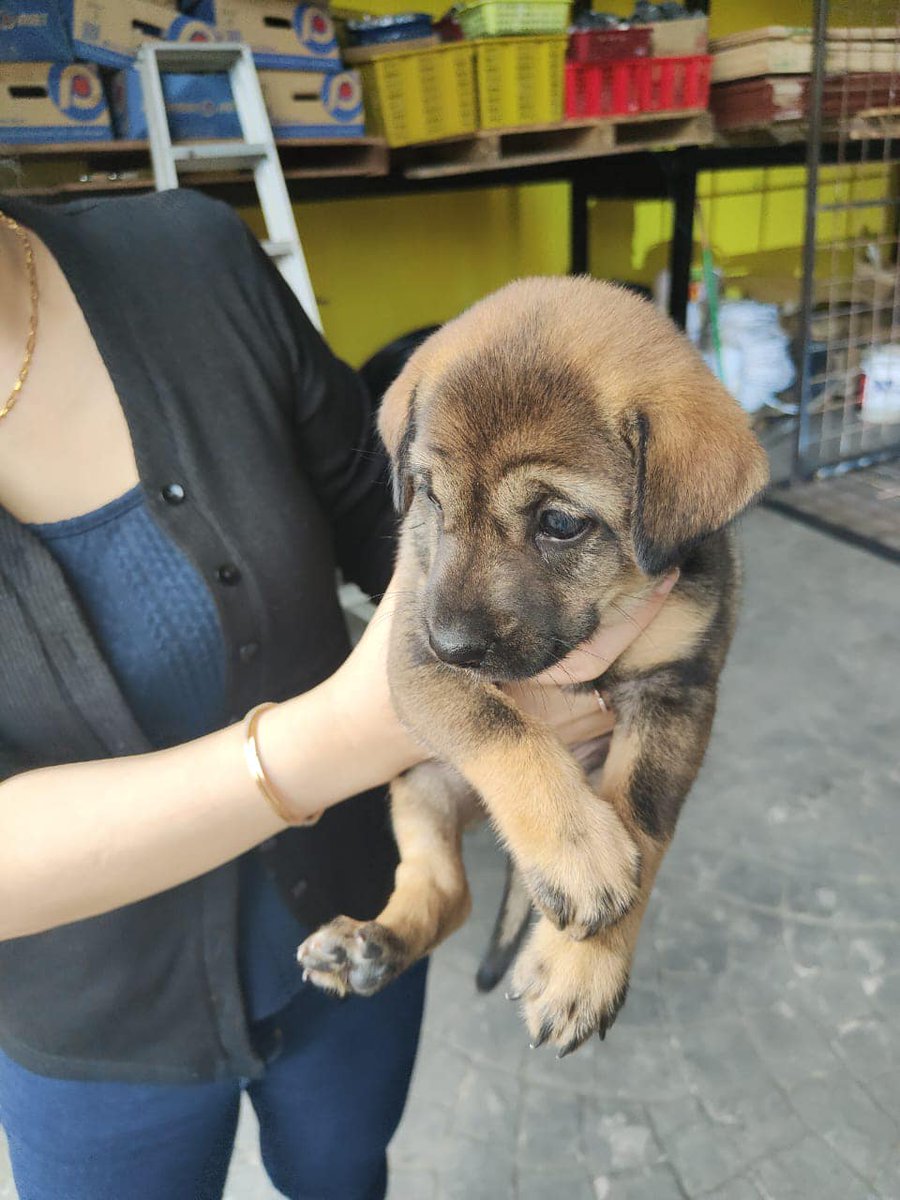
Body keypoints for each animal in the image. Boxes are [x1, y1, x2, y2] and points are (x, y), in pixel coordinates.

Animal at [300, 276, 772, 1056]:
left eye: (560, 523)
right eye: (431, 497)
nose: (453, 645)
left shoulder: (675, 689)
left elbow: (641, 819)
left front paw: (583, 968)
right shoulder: (411, 662)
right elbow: (500, 728)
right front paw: (578, 855)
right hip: (418, 783)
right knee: (443, 887)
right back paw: (370, 944)